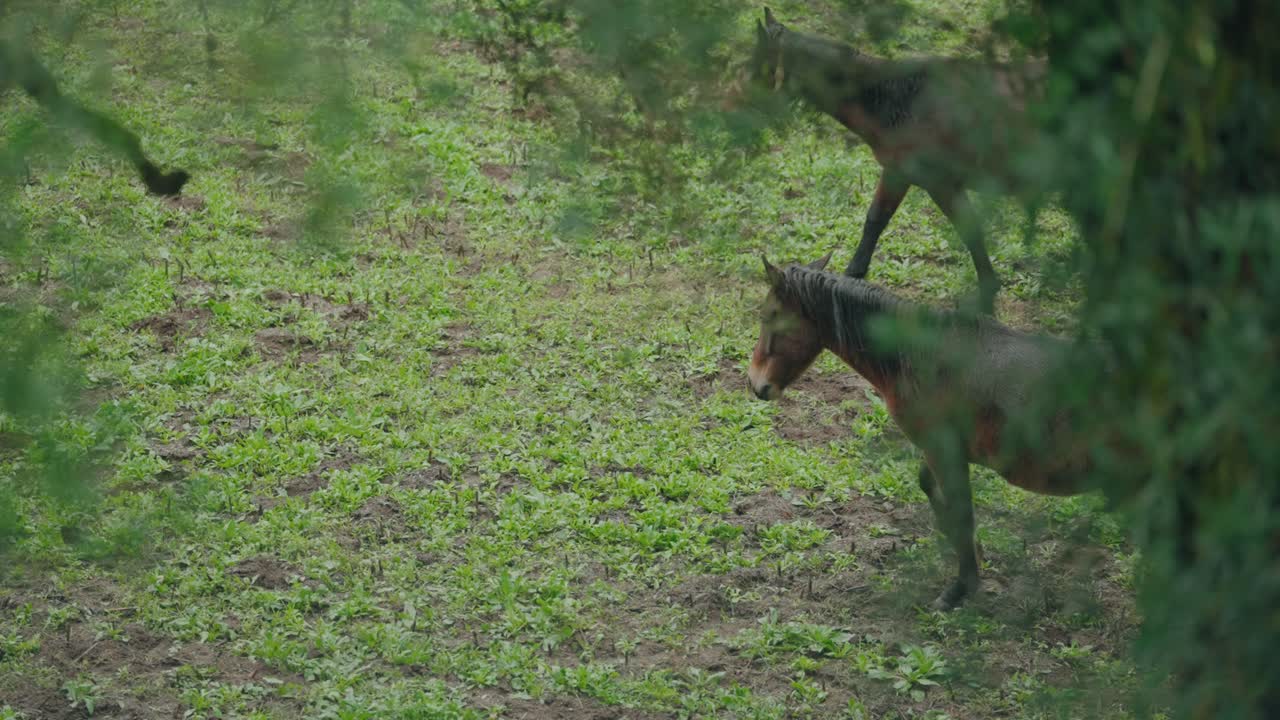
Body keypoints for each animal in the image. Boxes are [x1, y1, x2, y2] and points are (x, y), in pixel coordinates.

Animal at [747, 255, 1104, 609]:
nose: (755, 383)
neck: (923, 355)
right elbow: (930, 488)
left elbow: (962, 513)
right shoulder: (939, 450)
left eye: (768, 316)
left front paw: (960, 587)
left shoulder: (944, 450)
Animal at [748, 8, 1044, 314]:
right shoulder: (897, 173)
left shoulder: (942, 184)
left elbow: (970, 230)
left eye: (760, 66)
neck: (900, 98)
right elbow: (875, 220)